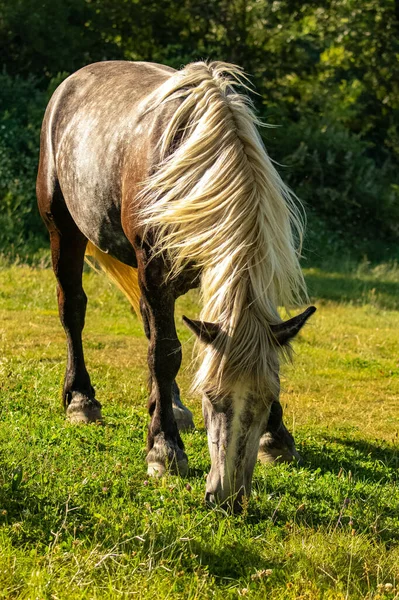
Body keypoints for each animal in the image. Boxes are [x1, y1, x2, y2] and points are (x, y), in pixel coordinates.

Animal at [36, 61, 316, 510]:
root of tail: (72, 81)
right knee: (73, 310)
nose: (228, 495)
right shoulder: (153, 271)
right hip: (63, 231)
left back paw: (170, 405)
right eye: (211, 398)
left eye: (266, 400)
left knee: (151, 328)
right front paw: (164, 450)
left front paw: (276, 439)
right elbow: (165, 355)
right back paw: (82, 400)